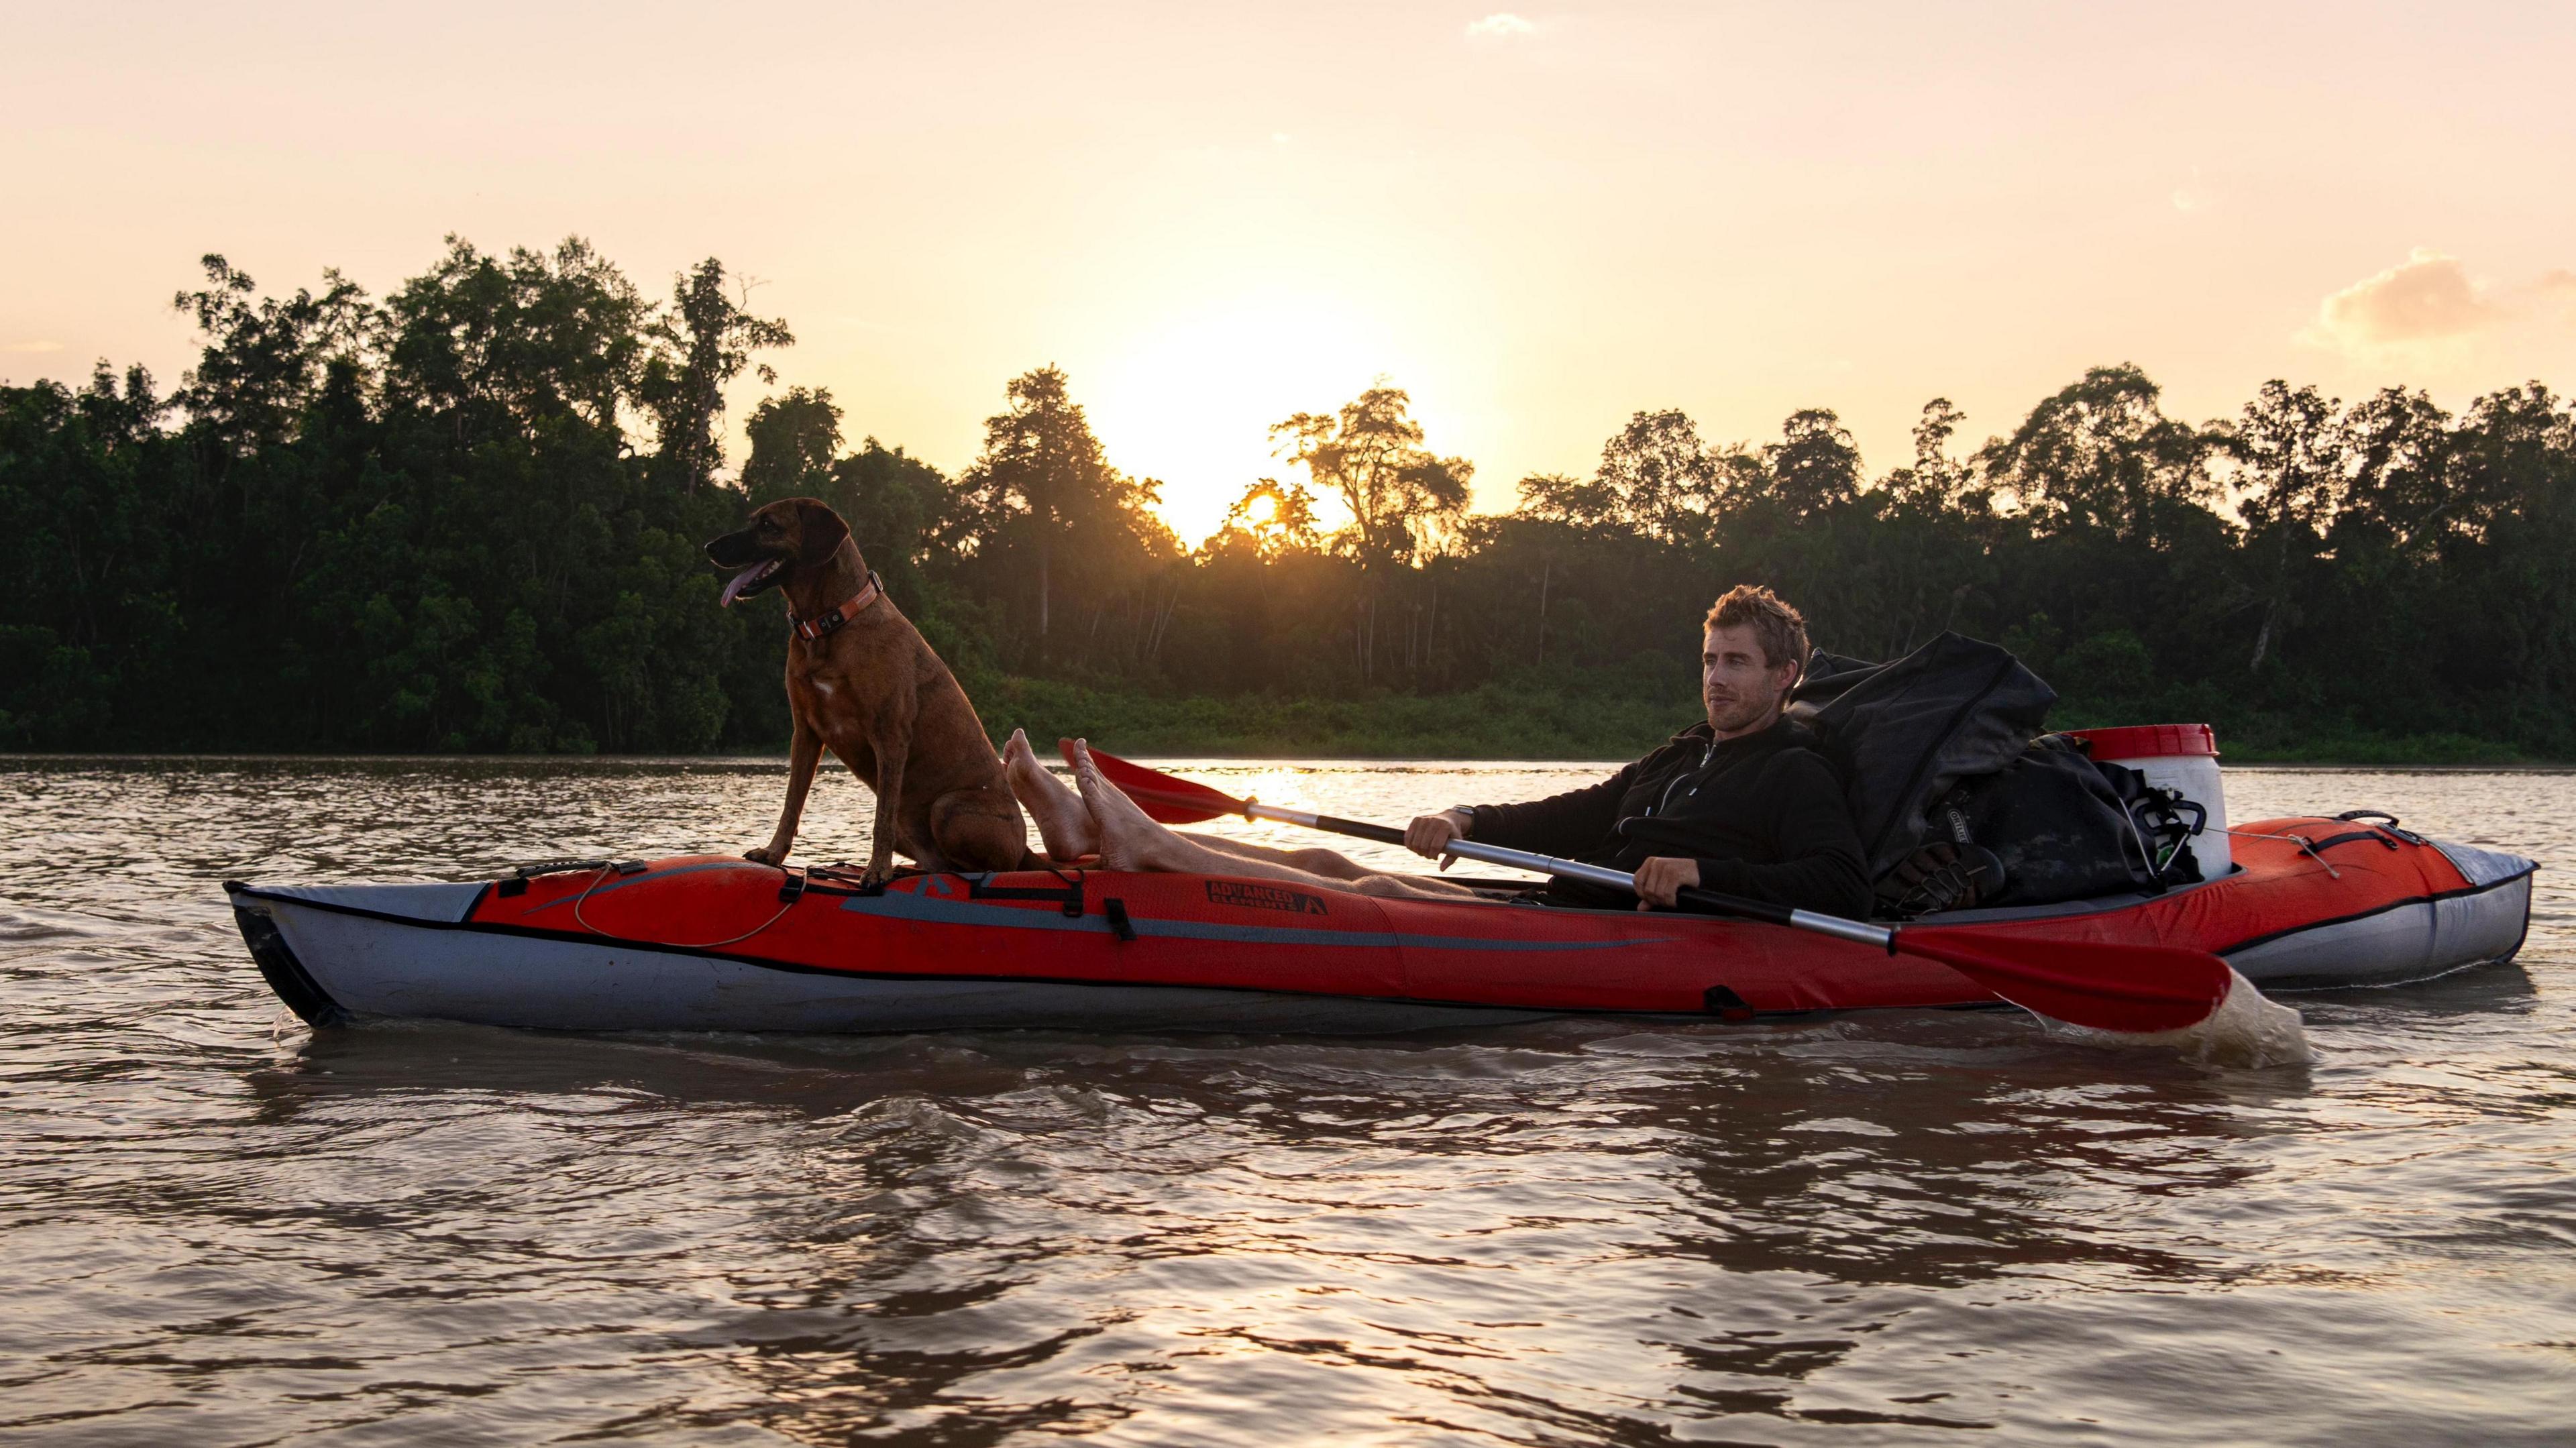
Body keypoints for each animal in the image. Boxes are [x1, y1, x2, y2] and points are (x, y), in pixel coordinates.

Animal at [710, 494, 1030, 881]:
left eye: (769, 525)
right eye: (752, 520)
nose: (710, 547)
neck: (828, 624)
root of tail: (1027, 851)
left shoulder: (890, 734)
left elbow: (881, 820)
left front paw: (877, 871)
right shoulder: (804, 732)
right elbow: (791, 803)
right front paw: (773, 854)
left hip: (948, 806)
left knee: (976, 867)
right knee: (935, 862)